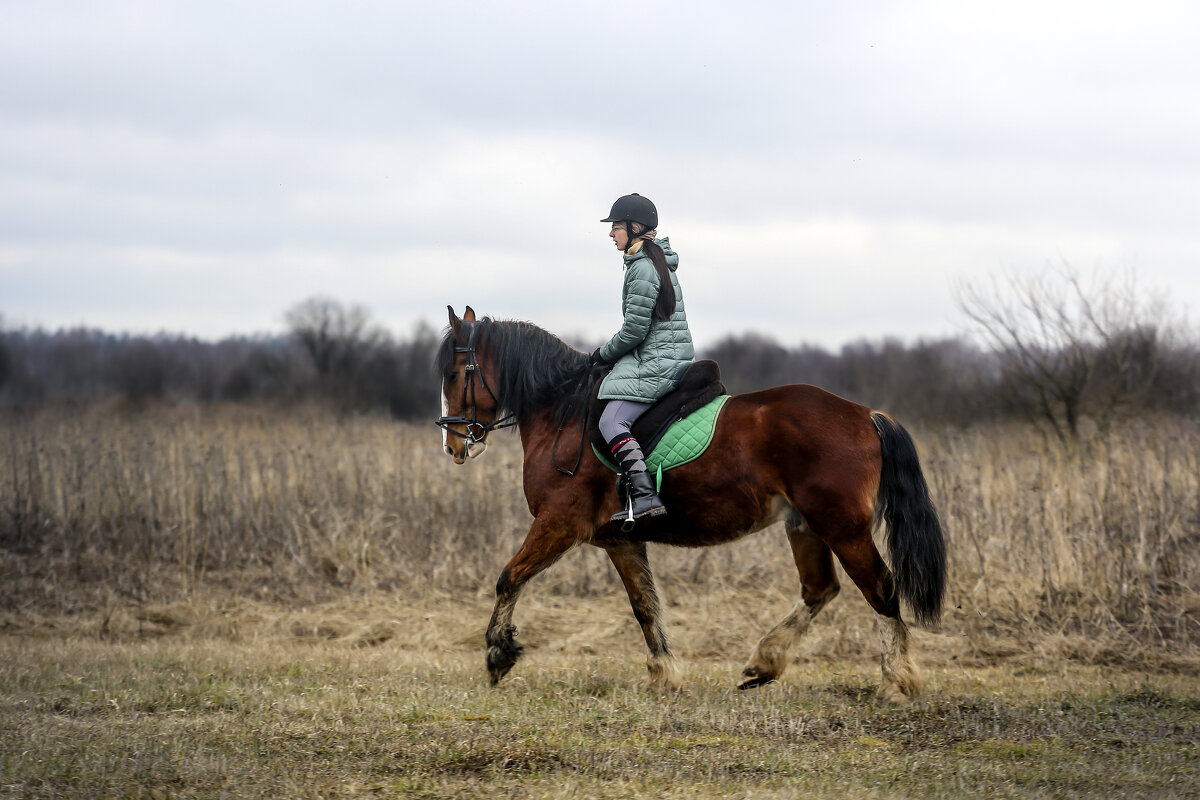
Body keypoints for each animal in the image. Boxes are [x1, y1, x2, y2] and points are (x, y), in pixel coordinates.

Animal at [434, 307, 945, 700]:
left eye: (456, 374)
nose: (454, 446)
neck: (564, 412)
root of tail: (867, 414)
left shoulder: (559, 522)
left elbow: (508, 578)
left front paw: (498, 654)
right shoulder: (619, 541)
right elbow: (645, 606)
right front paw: (664, 675)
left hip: (842, 526)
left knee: (881, 589)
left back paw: (897, 682)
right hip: (805, 524)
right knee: (820, 589)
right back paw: (763, 665)